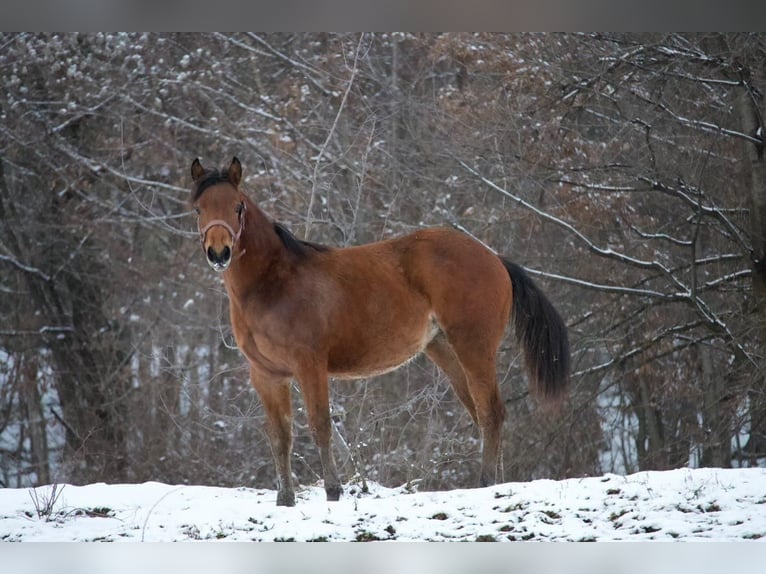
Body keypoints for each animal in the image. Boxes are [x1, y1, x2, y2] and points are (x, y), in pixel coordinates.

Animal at [190, 157, 570, 507]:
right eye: (198, 208)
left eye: (237, 206)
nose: (219, 252)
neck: (274, 282)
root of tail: (494, 259)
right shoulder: (267, 375)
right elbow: (280, 435)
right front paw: (286, 500)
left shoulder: (310, 365)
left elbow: (320, 425)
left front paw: (333, 491)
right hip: (446, 351)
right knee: (481, 414)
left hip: (474, 347)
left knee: (492, 413)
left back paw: (486, 483)